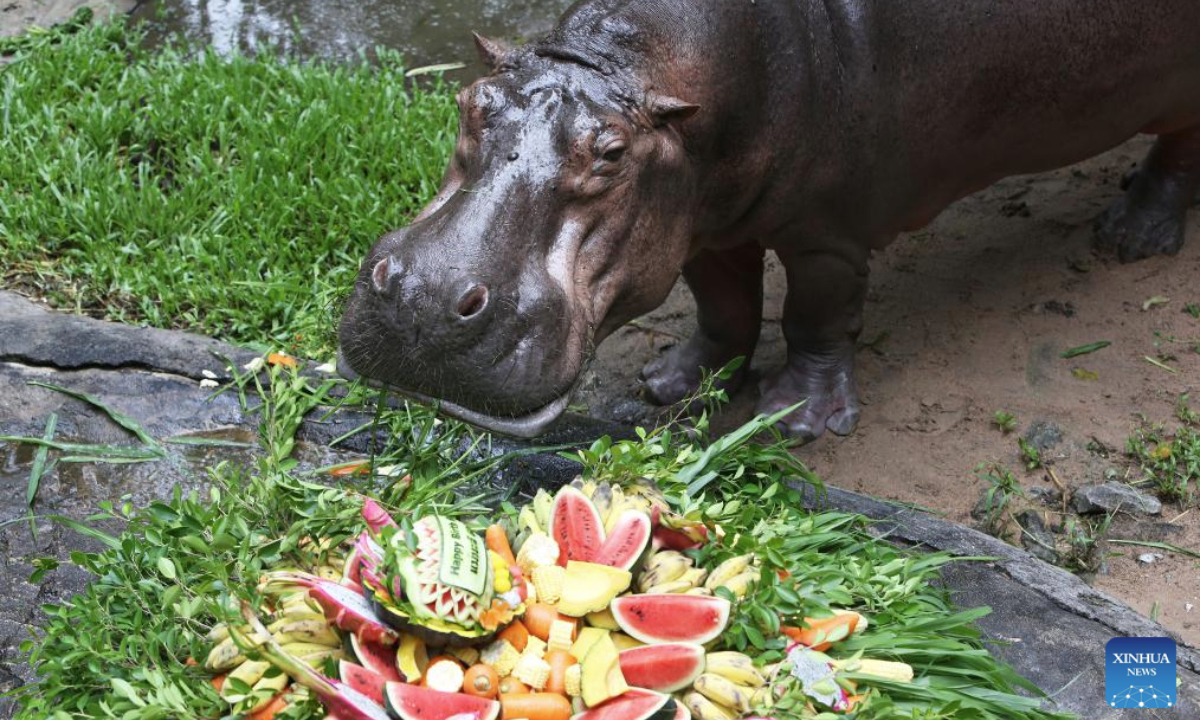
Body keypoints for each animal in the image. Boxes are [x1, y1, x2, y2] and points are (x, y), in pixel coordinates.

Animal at [339, 0, 1200, 440]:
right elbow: (723, 306)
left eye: (611, 153)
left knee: (1180, 148)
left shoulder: (828, 238)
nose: (421, 299)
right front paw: (672, 385)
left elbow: (815, 316)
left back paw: (1133, 237)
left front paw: (799, 417)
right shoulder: (700, 223)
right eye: (469, 101)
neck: (628, 65)